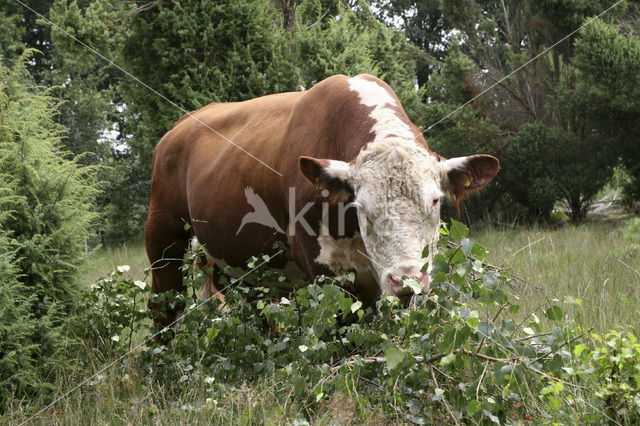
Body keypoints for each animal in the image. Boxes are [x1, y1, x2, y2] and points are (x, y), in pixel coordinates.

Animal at [145, 74, 500, 326]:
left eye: (436, 201)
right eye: (362, 207)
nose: (406, 280)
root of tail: (183, 123)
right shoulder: (322, 269)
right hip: (163, 236)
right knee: (164, 304)